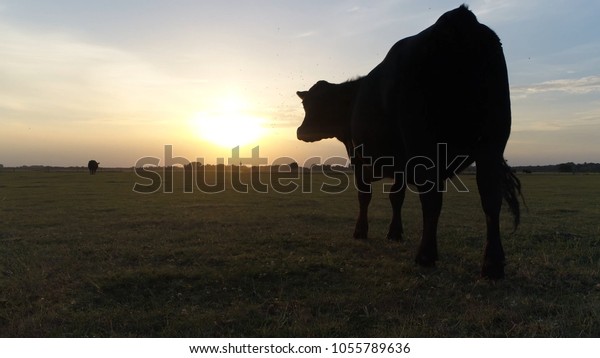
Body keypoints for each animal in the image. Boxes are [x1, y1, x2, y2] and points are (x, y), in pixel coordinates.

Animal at [298, 6, 524, 280]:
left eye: (313, 105)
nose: (301, 131)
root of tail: (457, 19)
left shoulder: (360, 158)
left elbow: (365, 195)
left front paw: (361, 231)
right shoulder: (400, 165)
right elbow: (397, 197)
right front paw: (395, 232)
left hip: (425, 143)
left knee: (432, 199)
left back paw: (426, 255)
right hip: (492, 144)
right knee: (491, 198)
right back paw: (492, 264)